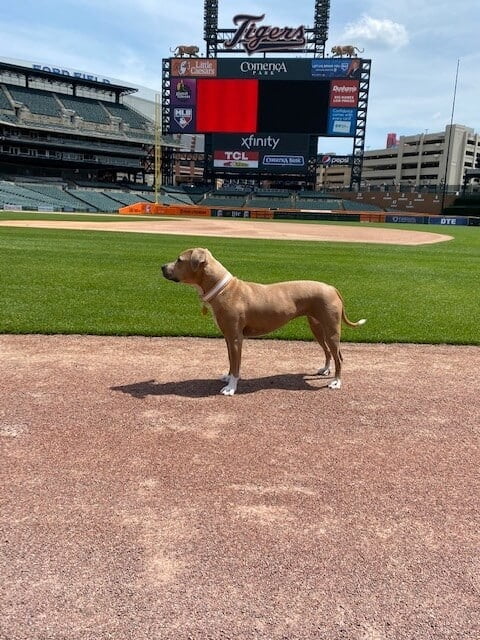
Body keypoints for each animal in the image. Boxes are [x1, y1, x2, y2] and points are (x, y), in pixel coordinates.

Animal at [162, 249, 368, 396]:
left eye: (179, 260)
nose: (162, 266)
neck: (223, 289)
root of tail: (331, 287)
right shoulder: (228, 337)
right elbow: (230, 360)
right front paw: (227, 378)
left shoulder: (236, 338)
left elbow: (236, 365)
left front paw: (231, 388)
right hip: (317, 327)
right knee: (327, 351)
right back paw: (325, 370)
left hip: (332, 330)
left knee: (338, 356)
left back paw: (336, 382)